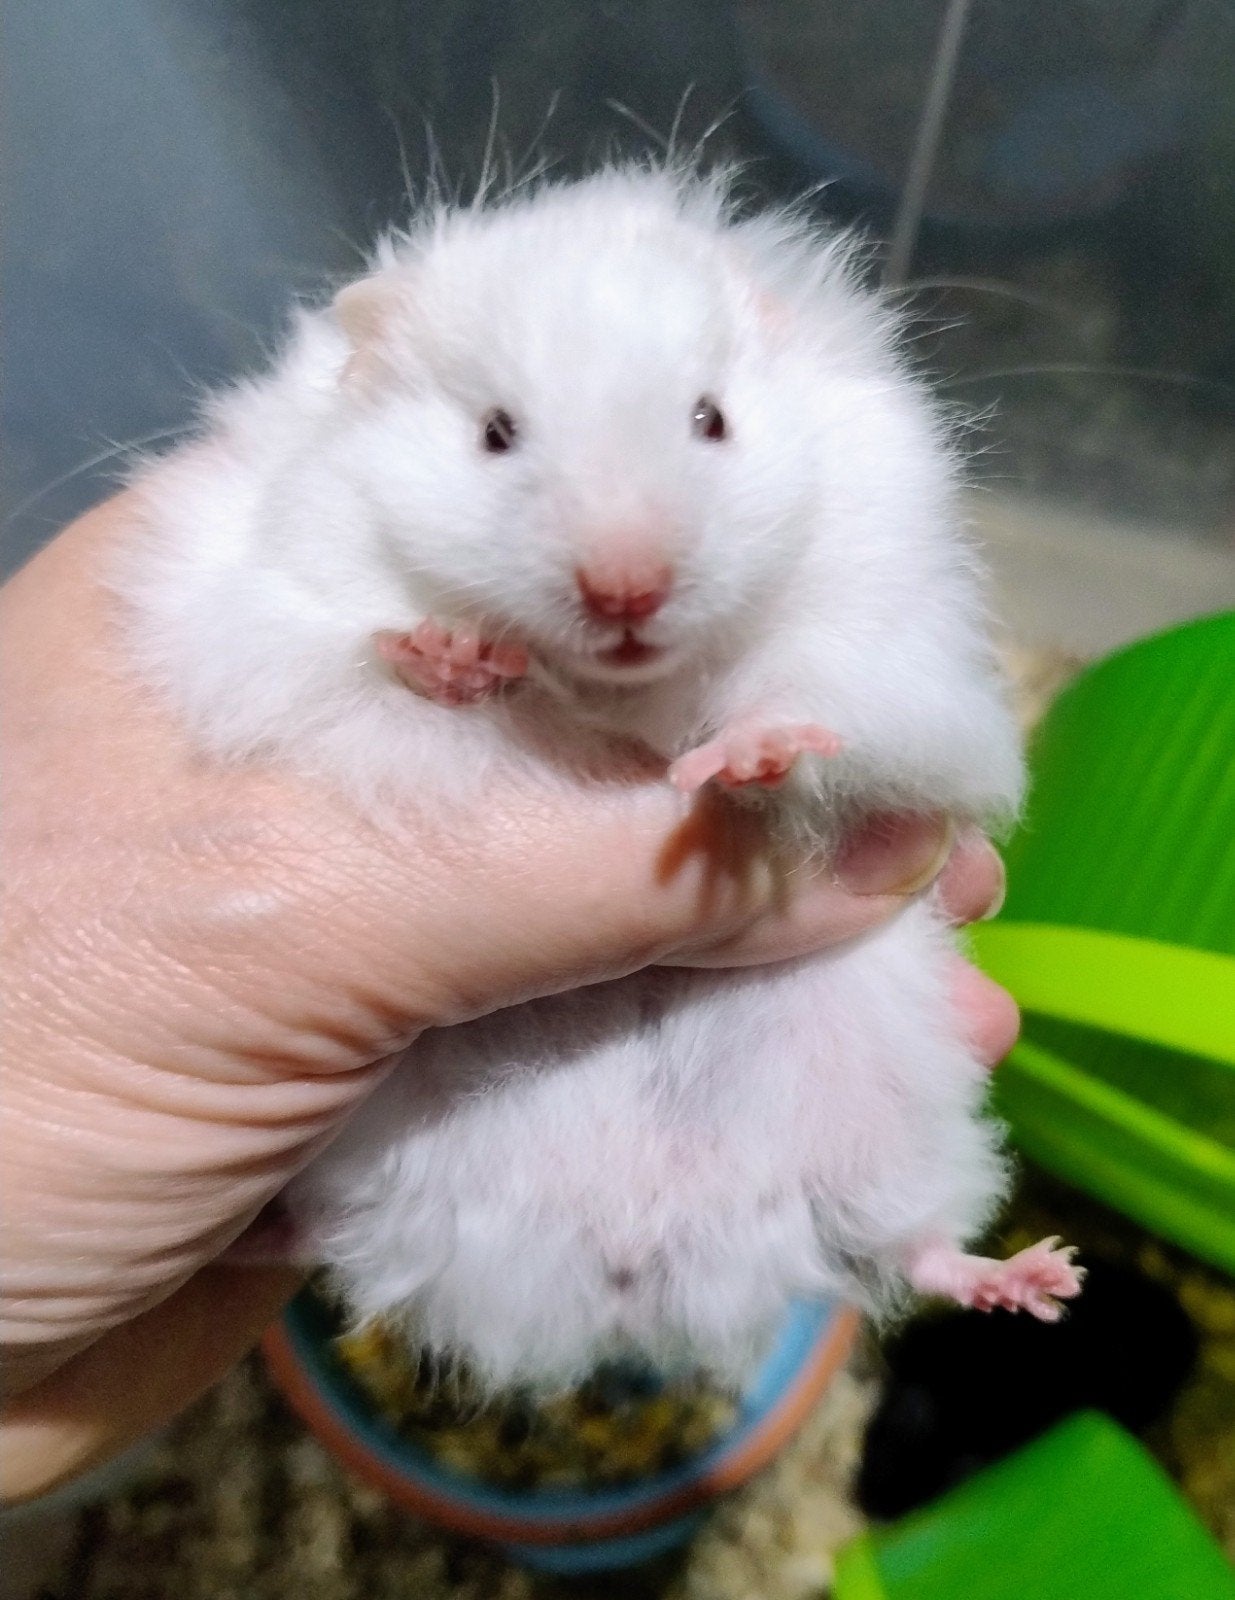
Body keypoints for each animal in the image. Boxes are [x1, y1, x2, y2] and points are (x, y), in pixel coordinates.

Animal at [119, 164, 1082, 1391]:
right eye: (494, 433)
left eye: (710, 418)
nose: (626, 588)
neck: (619, 688)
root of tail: (637, 1269)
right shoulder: (270, 607)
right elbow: (384, 661)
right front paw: (453, 653)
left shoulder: (889, 649)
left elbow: (795, 706)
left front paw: (744, 755)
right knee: (316, 1236)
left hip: (890, 1117)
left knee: (911, 1245)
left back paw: (1042, 1279)